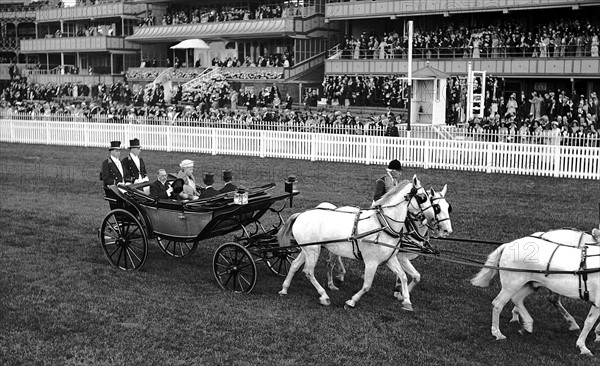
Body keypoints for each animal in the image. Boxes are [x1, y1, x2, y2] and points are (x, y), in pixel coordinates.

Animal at [276, 176, 436, 310]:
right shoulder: (371, 262)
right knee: (308, 271)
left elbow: (403, 276)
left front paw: (406, 301)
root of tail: (300, 215)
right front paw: (351, 301)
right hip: (312, 250)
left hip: (308, 249)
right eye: (422, 197)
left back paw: (284, 288)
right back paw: (324, 296)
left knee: (295, 265)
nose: (432, 218)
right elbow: (367, 285)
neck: (383, 225)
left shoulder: (390, 258)